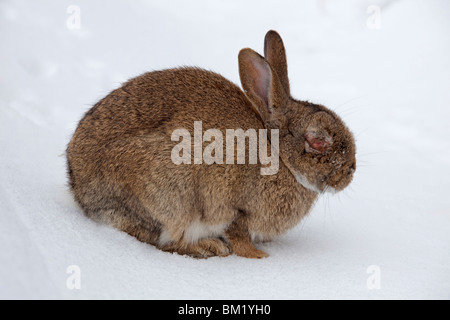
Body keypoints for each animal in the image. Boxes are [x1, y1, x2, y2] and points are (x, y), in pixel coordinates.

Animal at [67, 30, 356, 260]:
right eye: (318, 140)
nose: (350, 171)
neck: (278, 155)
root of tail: (78, 184)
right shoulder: (235, 208)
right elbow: (238, 235)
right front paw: (259, 256)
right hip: (167, 194)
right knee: (163, 240)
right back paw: (208, 247)